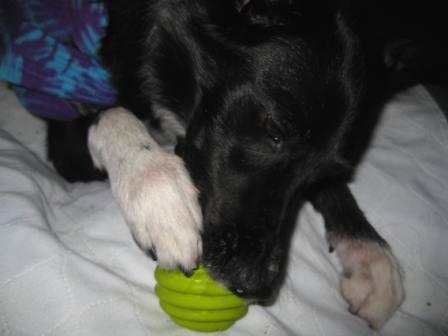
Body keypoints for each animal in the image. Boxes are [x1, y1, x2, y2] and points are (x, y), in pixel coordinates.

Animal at [46, 0, 410, 330]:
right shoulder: (65, 131)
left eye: (327, 170)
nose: (254, 285)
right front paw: (156, 188)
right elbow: (111, 114)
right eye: (274, 128)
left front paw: (368, 250)